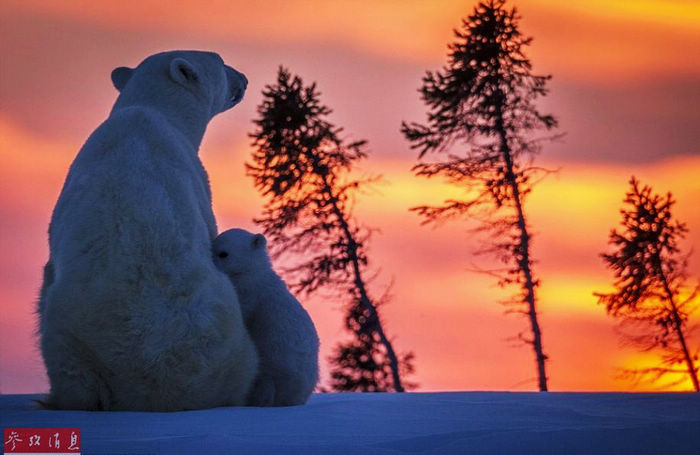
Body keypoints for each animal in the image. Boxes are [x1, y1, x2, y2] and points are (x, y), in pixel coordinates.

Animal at [36, 50, 260, 414]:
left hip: (71, 337)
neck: (147, 110)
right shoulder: (197, 179)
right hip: (224, 337)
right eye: (219, 59)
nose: (243, 79)